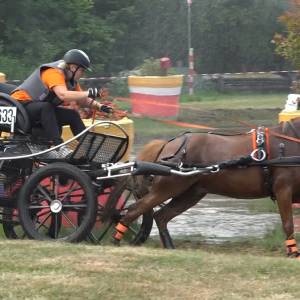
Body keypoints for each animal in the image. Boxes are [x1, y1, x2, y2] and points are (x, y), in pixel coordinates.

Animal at [113, 117, 300, 258]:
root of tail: (167, 144)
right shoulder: (283, 190)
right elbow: (288, 224)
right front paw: (293, 253)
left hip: (191, 193)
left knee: (161, 216)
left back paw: (169, 247)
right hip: (168, 188)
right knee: (135, 210)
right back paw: (116, 241)